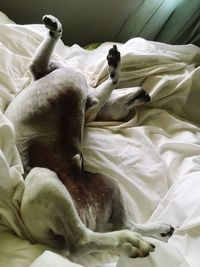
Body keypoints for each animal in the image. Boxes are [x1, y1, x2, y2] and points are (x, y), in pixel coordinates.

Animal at [5, 15, 173, 260]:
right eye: (128, 110)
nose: (147, 94)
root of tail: (89, 215)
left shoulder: (47, 72)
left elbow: (107, 83)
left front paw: (113, 65)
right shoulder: (54, 76)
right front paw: (54, 27)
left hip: (48, 178)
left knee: (84, 240)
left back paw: (130, 241)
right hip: (109, 185)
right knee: (124, 225)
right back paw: (157, 231)